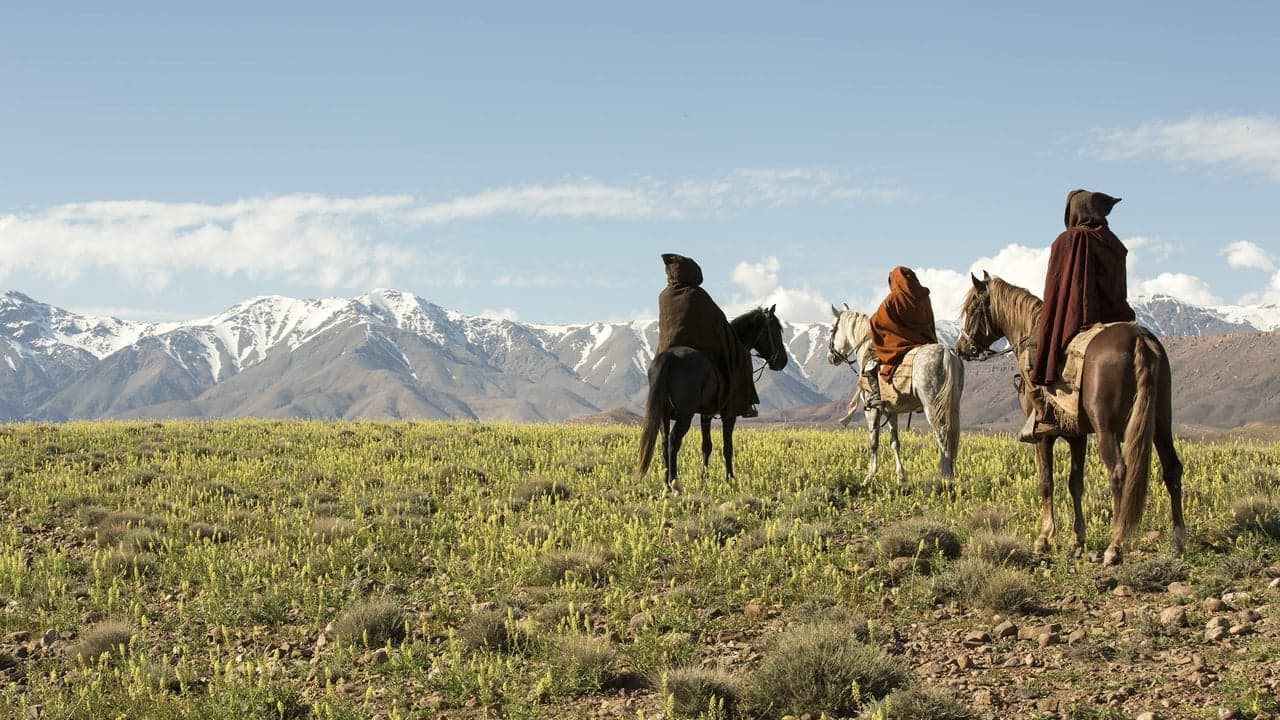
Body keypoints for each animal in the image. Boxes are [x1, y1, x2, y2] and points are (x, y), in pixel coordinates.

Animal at [957, 271, 1182, 563]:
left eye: (973, 308)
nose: (962, 348)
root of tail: (1138, 338)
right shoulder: (1077, 436)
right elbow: (1075, 483)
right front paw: (1077, 539)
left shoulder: (1043, 435)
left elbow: (1046, 482)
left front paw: (1044, 539)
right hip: (1160, 423)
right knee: (1172, 469)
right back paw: (1179, 540)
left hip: (1107, 429)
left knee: (1119, 473)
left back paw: (1115, 546)